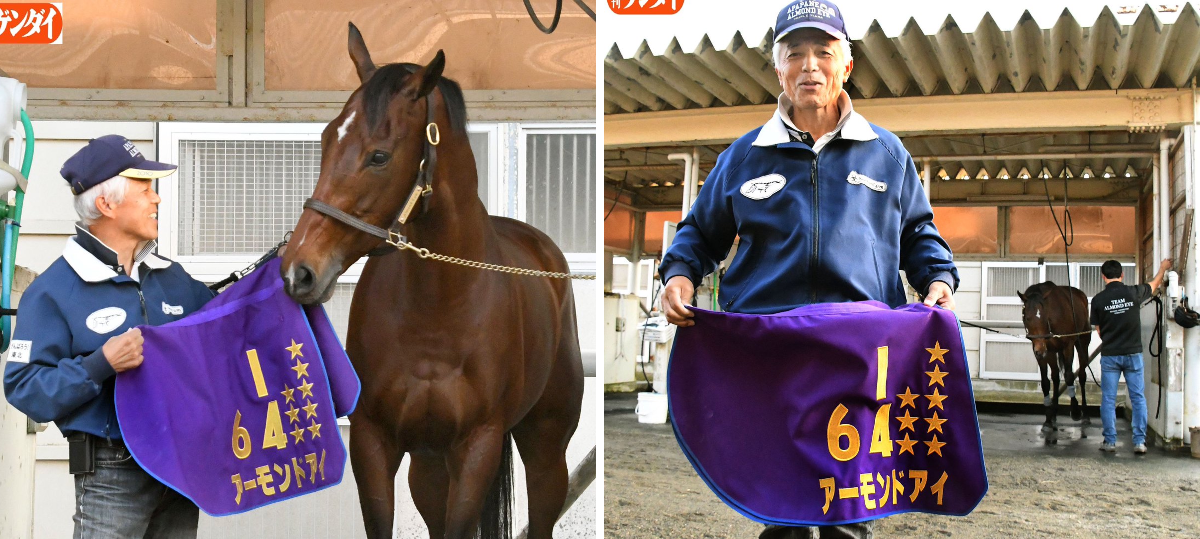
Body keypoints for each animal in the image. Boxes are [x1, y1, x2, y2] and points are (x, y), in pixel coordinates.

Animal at [279, 23, 584, 539]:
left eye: (379, 156)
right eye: (325, 140)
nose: (299, 271)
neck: (439, 309)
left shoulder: (476, 448)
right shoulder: (374, 442)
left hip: (545, 449)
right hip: (429, 464)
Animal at [1017, 282, 1093, 444]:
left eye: (1044, 317)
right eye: (1027, 317)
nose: (1040, 349)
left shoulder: (1067, 345)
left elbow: (1070, 376)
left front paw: (1075, 410)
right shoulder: (1044, 350)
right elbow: (1046, 381)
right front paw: (1047, 419)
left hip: (1082, 342)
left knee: (1082, 375)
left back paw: (1085, 414)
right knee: (1056, 377)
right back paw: (1053, 415)